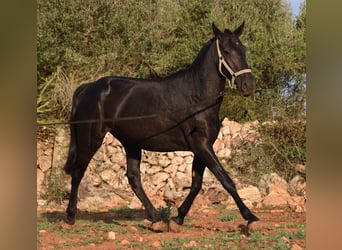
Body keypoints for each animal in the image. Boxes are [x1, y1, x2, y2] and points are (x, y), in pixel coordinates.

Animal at [62, 22, 258, 229]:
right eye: (227, 51)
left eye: (243, 49)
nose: (249, 85)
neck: (197, 97)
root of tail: (88, 88)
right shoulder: (201, 145)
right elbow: (225, 180)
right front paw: (250, 217)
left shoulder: (202, 147)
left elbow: (196, 184)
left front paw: (177, 218)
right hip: (91, 140)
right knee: (78, 174)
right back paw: (70, 216)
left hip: (131, 143)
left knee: (133, 179)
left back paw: (156, 219)